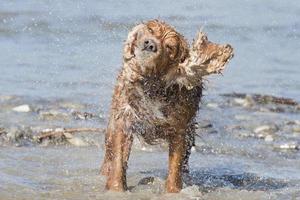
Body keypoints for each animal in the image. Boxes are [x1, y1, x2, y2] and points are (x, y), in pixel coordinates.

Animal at [99, 19, 233, 192]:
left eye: (169, 47)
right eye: (150, 30)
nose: (150, 44)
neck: (152, 85)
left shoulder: (179, 129)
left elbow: (175, 165)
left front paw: (173, 191)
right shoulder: (124, 118)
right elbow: (118, 158)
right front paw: (116, 188)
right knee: (110, 149)